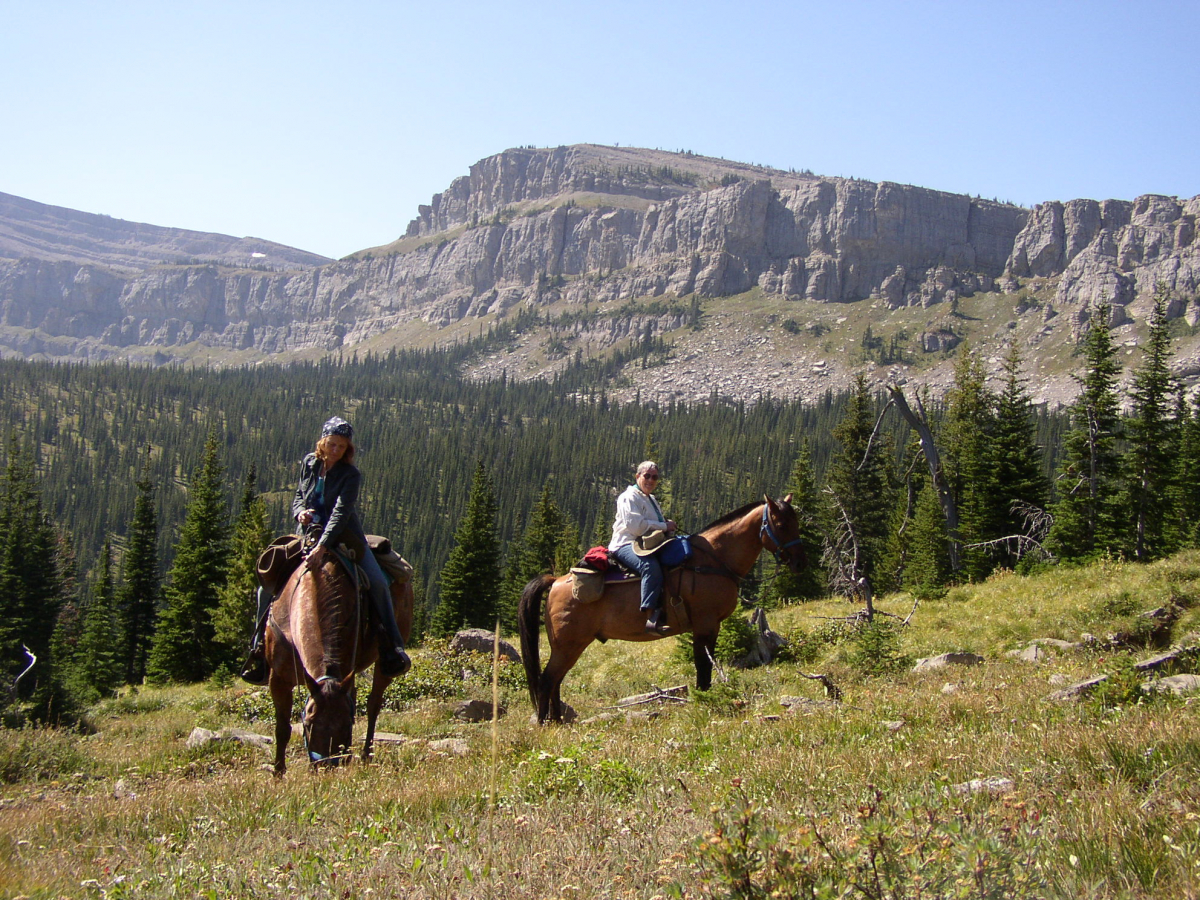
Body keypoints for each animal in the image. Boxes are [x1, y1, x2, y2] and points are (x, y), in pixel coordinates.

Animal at [262, 549, 412, 777]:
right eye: (309, 723)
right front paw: (278, 771)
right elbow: (282, 727)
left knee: (373, 704)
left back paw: (366, 754)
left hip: (384, 659)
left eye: (347, 724)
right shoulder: (278, 677)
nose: (327, 769)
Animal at [518, 496, 806, 729]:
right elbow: (703, 666)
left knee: (555, 681)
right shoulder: (705, 624)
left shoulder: (708, 627)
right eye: (781, 525)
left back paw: (557, 722)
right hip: (569, 644)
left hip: (569, 646)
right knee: (547, 680)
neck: (713, 560)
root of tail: (555, 580)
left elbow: (706, 664)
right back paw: (544, 725)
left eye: (797, 522)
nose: (799, 561)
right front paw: (704, 701)